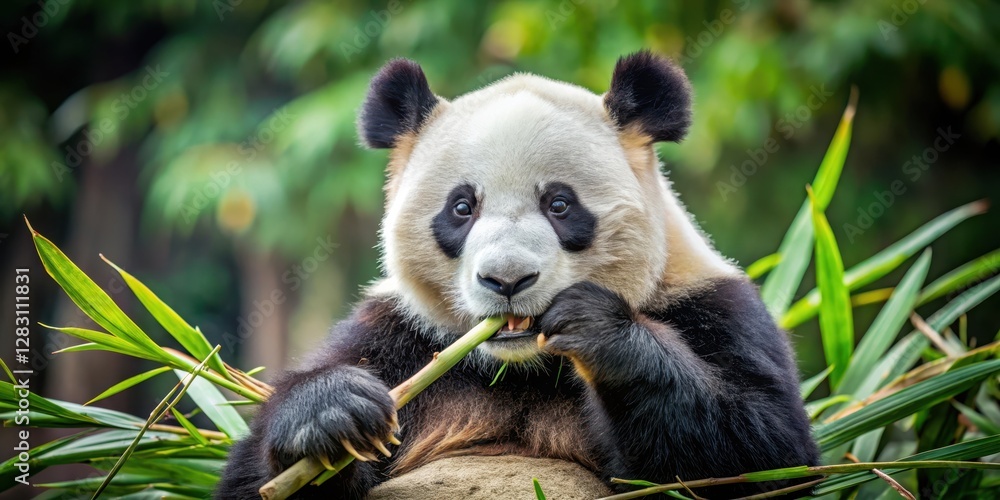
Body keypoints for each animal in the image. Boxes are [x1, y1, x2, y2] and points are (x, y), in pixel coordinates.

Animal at [218, 51, 819, 499]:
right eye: (462, 207)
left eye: (559, 204)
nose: (507, 281)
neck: (519, 367)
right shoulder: (392, 333)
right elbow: (249, 478)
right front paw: (331, 412)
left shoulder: (712, 306)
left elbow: (762, 452)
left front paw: (598, 328)